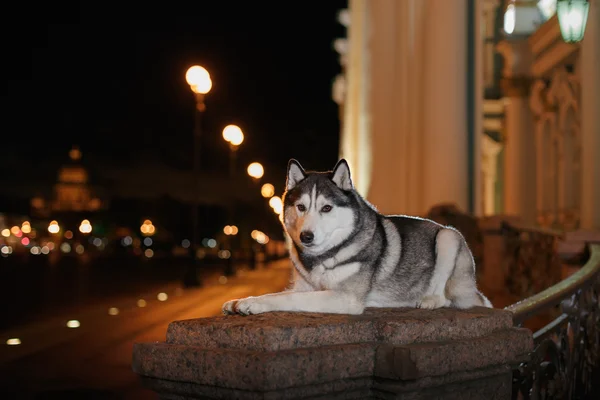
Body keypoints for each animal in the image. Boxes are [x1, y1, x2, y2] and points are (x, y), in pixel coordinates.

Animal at [221, 158, 492, 314]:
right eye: (301, 207)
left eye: (326, 208)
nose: (306, 236)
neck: (323, 258)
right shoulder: (303, 286)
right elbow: (280, 294)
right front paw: (243, 300)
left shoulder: (344, 298)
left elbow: (288, 300)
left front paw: (253, 305)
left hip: (449, 237)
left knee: (449, 298)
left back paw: (429, 300)